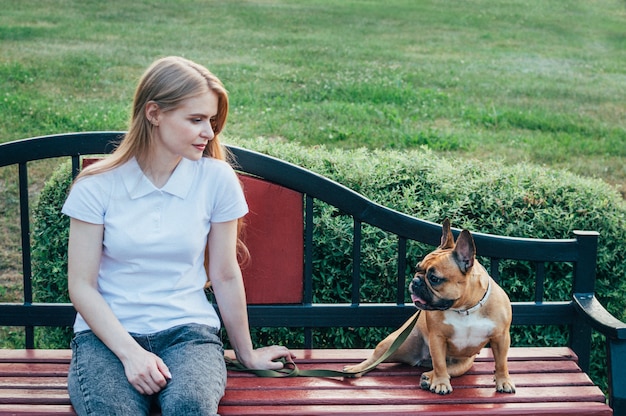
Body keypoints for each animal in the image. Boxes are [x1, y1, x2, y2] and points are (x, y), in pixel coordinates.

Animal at [344, 219, 516, 394]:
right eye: (416, 268)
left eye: (434, 278)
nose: (415, 281)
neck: (464, 309)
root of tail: (421, 359)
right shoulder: (437, 337)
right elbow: (439, 363)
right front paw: (440, 383)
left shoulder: (501, 338)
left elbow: (501, 362)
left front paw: (503, 381)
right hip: (395, 343)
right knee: (375, 359)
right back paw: (355, 369)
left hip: (464, 363)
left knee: (449, 369)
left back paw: (427, 377)